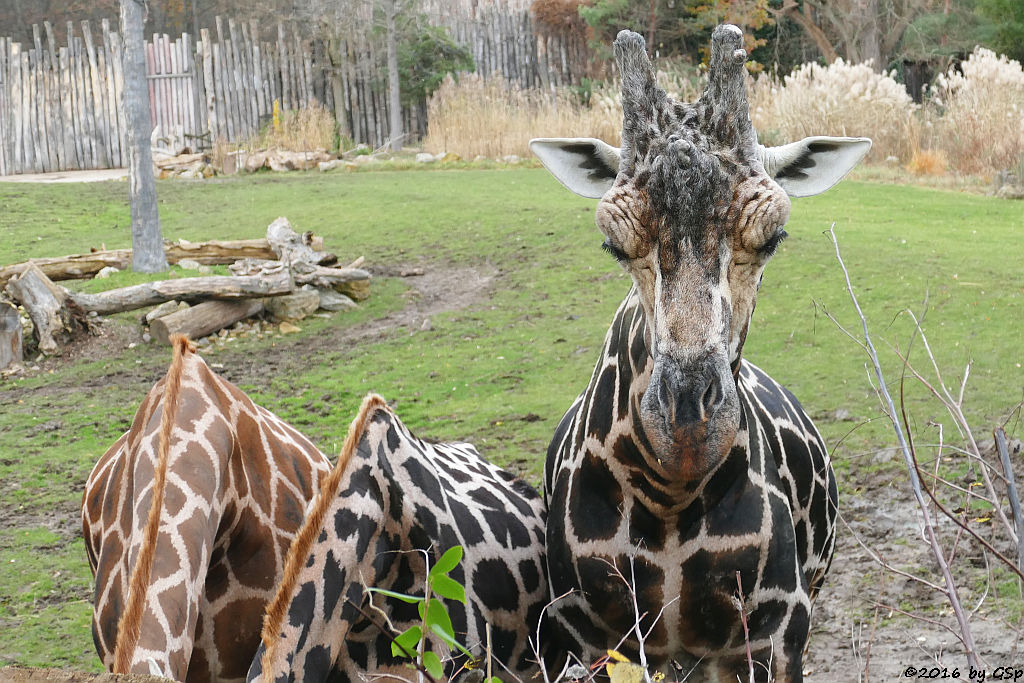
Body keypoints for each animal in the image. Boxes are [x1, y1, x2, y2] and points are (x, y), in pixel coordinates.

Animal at [528, 22, 872, 683]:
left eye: (773, 236)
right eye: (612, 243)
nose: (688, 427)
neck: (670, 497)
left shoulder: (774, 632)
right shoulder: (585, 635)